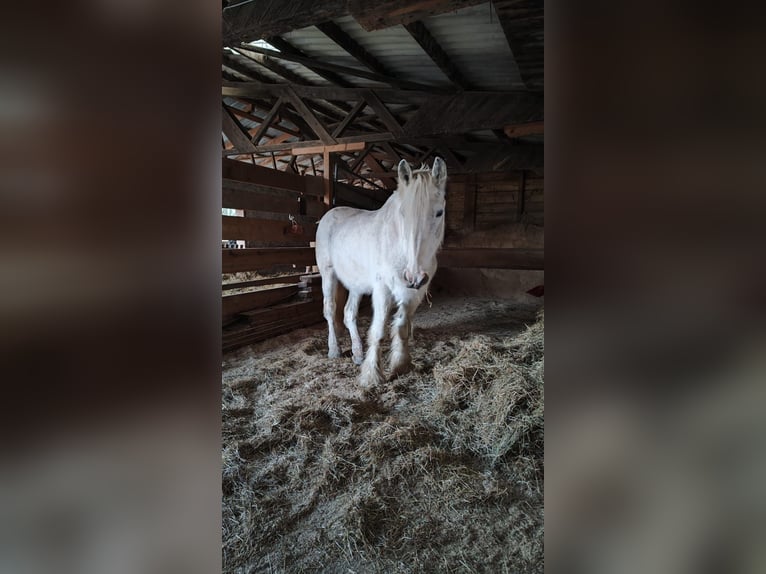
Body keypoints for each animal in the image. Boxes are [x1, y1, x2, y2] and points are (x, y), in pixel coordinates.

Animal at [315, 157, 447, 388]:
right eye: (403, 213)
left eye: (439, 212)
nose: (414, 276)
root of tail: (329, 215)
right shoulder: (383, 289)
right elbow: (377, 331)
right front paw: (372, 375)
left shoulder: (413, 292)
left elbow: (402, 327)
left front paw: (401, 365)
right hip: (328, 275)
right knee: (330, 310)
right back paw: (334, 350)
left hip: (356, 284)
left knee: (349, 314)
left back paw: (358, 354)